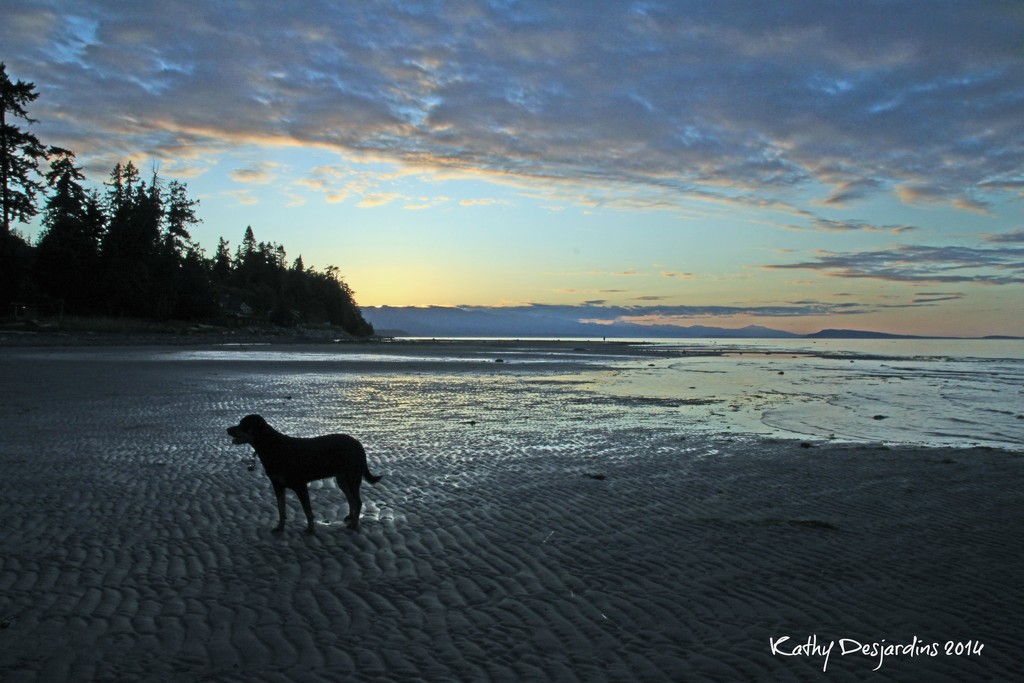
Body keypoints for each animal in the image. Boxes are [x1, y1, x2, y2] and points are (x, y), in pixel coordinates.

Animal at [226, 413, 382, 532]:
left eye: (243, 425)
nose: (227, 429)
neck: (270, 445)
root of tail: (358, 444)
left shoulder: (300, 486)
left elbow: (307, 510)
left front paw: (310, 529)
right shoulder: (277, 486)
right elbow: (281, 509)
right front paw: (280, 527)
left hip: (352, 476)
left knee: (358, 501)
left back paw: (354, 524)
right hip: (342, 479)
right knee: (350, 498)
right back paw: (350, 516)